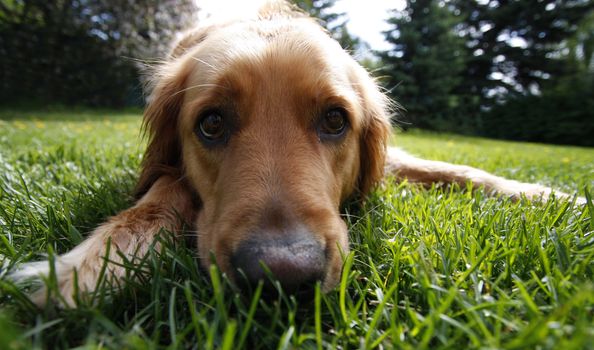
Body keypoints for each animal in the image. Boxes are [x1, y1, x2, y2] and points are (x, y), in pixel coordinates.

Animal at [12, 1, 580, 306]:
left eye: (334, 120)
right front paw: (83, 269)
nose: (282, 274)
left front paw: (550, 195)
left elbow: (458, 168)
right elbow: (160, 195)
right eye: (211, 123)